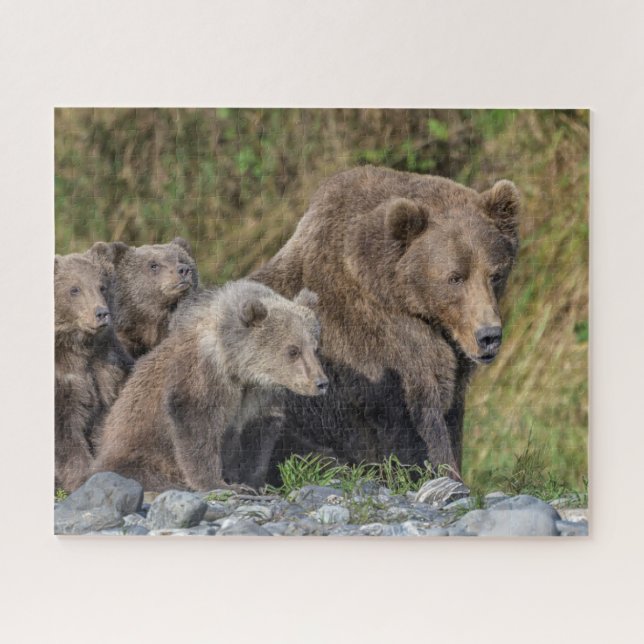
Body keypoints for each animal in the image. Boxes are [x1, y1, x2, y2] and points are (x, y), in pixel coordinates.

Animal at [55, 250, 134, 492]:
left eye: (102, 286)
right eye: (74, 289)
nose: (101, 313)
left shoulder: (107, 368)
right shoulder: (64, 380)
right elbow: (65, 433)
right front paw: (80, 477)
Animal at [92, 280, 328, 492]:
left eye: (315, 347)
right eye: (293, 350)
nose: (321, 382)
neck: (237, 366)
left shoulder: (258, 394)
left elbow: (257, 434)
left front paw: (252, 481)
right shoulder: (204, 375)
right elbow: (196, 423)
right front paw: (217, 483)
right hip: (136, 452)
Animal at [250, 165, 520, 480]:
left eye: (496, 274)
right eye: (455, 277)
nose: (489, 335)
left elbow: (452, 414)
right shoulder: (384, 348)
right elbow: (421, 421)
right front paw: (445, 473)